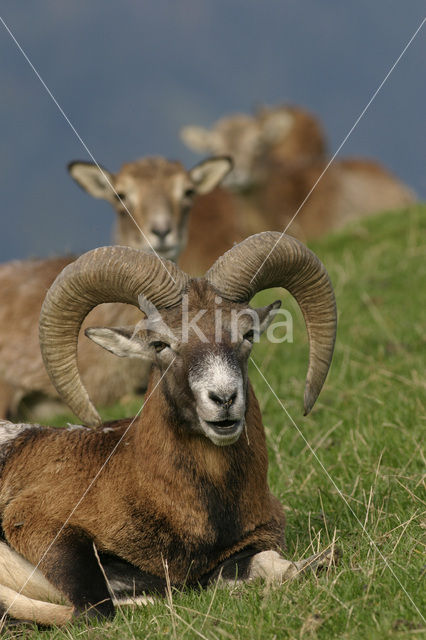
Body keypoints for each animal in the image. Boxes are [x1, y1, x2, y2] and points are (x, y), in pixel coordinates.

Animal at [0, 231, 340, 624]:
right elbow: (100, 605)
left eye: (248, 334)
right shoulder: (41, 526)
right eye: (160, 344)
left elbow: (263, 562)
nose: (224, 398)